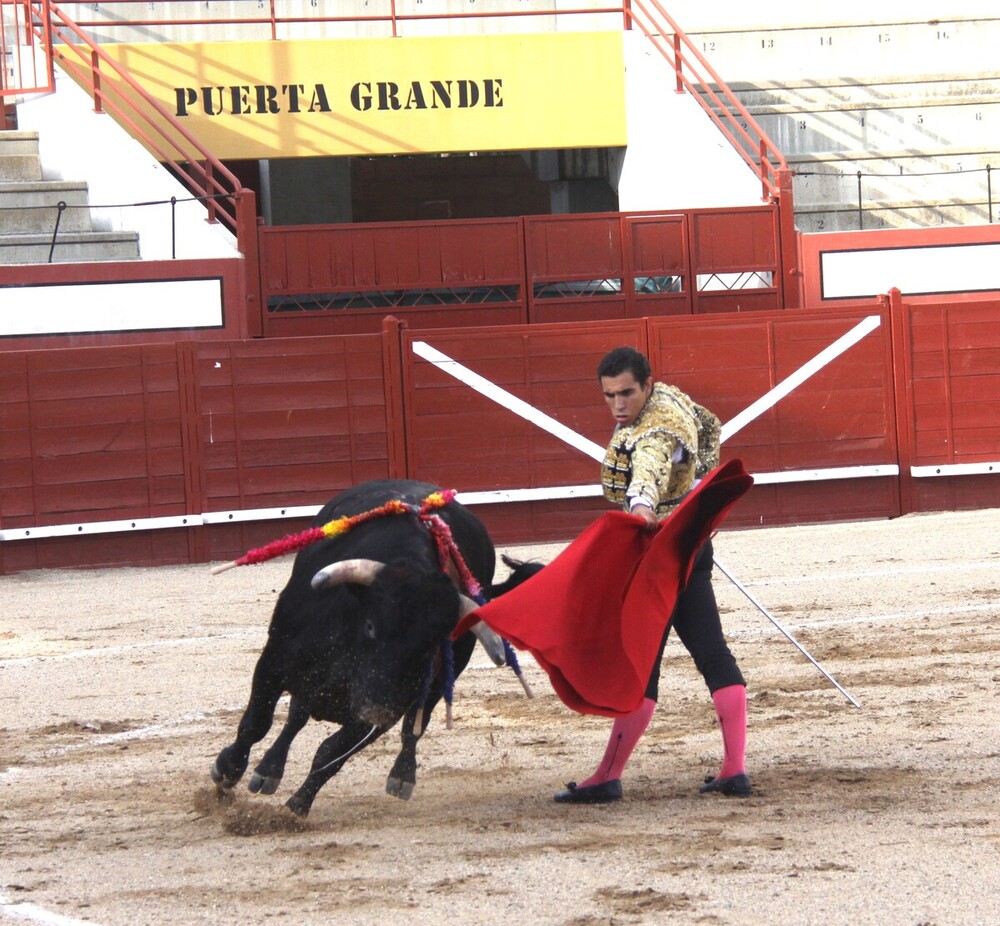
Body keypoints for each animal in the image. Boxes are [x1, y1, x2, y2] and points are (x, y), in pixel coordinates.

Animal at [210, 482, 540, 816]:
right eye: (370, 626)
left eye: (429, 645)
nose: (375, 707)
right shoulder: (273, 662)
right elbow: (257, 724)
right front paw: (226, 771)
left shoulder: (386, 707)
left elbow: (330, 754)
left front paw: (297, 807)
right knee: (294, 718)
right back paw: (268, 770)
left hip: (442, 676)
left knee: (413, 727)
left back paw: (402, 776)